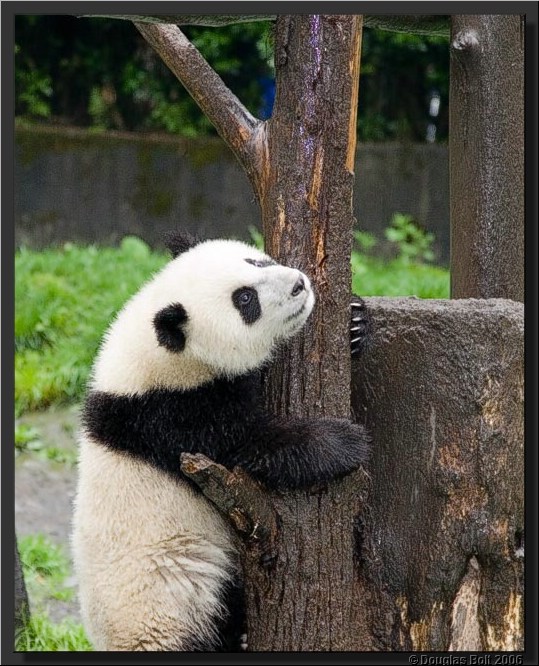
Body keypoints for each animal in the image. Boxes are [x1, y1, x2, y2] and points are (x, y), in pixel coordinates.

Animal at [72, 231, 370, 652]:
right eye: (245, 300)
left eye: (256, 261)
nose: (299, 284)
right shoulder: (171, 415)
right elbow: (248, 444)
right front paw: (344, 442)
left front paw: (357, 324)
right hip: (170, 605)